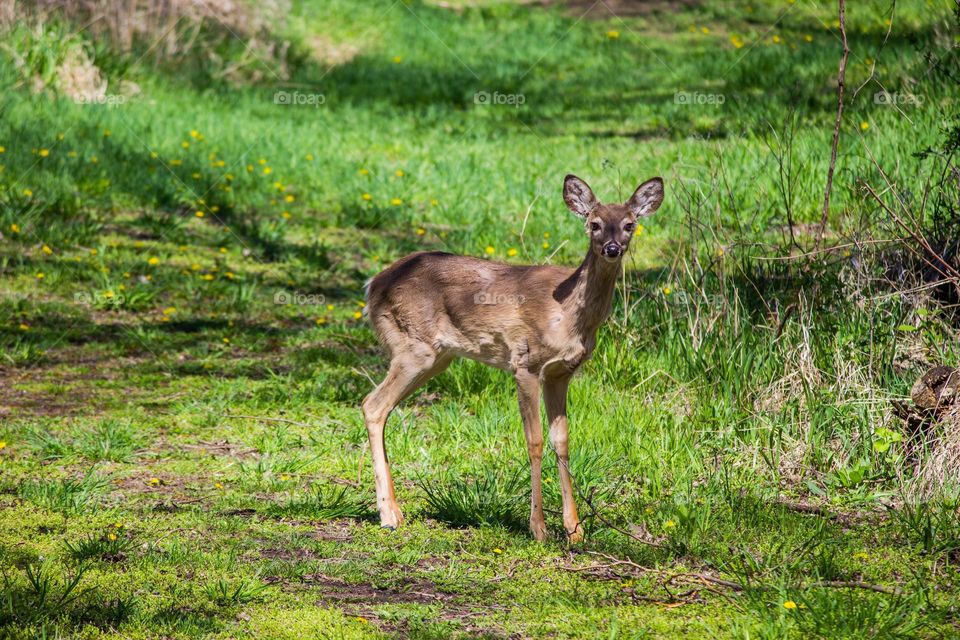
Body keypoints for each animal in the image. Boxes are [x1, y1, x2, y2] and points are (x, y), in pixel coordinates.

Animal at [364, 174, 664, 540]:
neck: (568, 315)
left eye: (629, 225)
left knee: (379, 407)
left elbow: (562, 440)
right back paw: (389, 515)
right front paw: (538, 528)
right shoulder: (525, 363)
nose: (612, 249)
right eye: (594, 224)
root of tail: (373, 284)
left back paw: (393, 511)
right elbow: (534, 440)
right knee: (372, 404)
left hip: (436, 356)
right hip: (413, 346)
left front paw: (574, 529)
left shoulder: (561, 373)